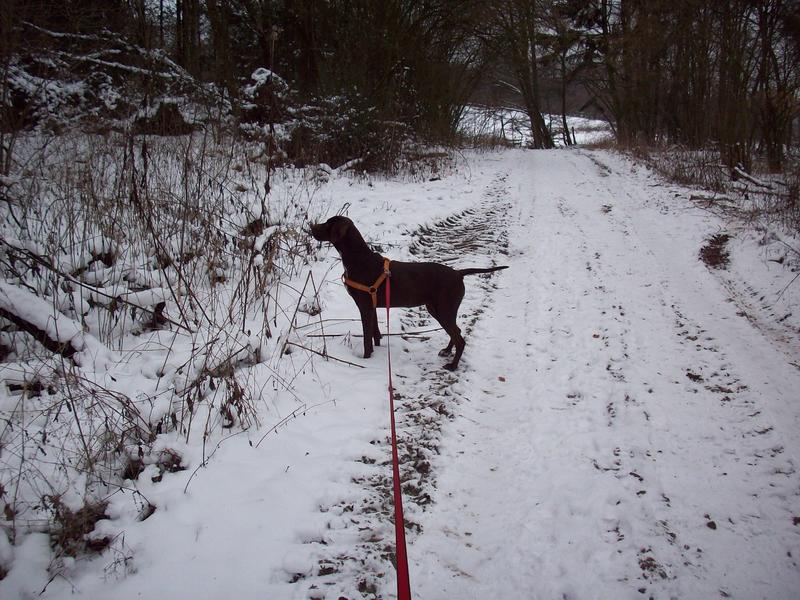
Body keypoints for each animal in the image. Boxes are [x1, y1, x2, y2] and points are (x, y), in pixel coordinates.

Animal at [310, 213, 506, 368]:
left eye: (328, 224)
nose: (311, 226)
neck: (358, 258)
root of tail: (458, 273)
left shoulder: (364, 307)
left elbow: (367, 340)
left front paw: (366, 360)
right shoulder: (372, 306)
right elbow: (375, 334)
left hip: (444, 310)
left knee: (460, 339)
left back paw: (452, 366)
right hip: (438, 309)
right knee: (456, 331)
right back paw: (446, 351)